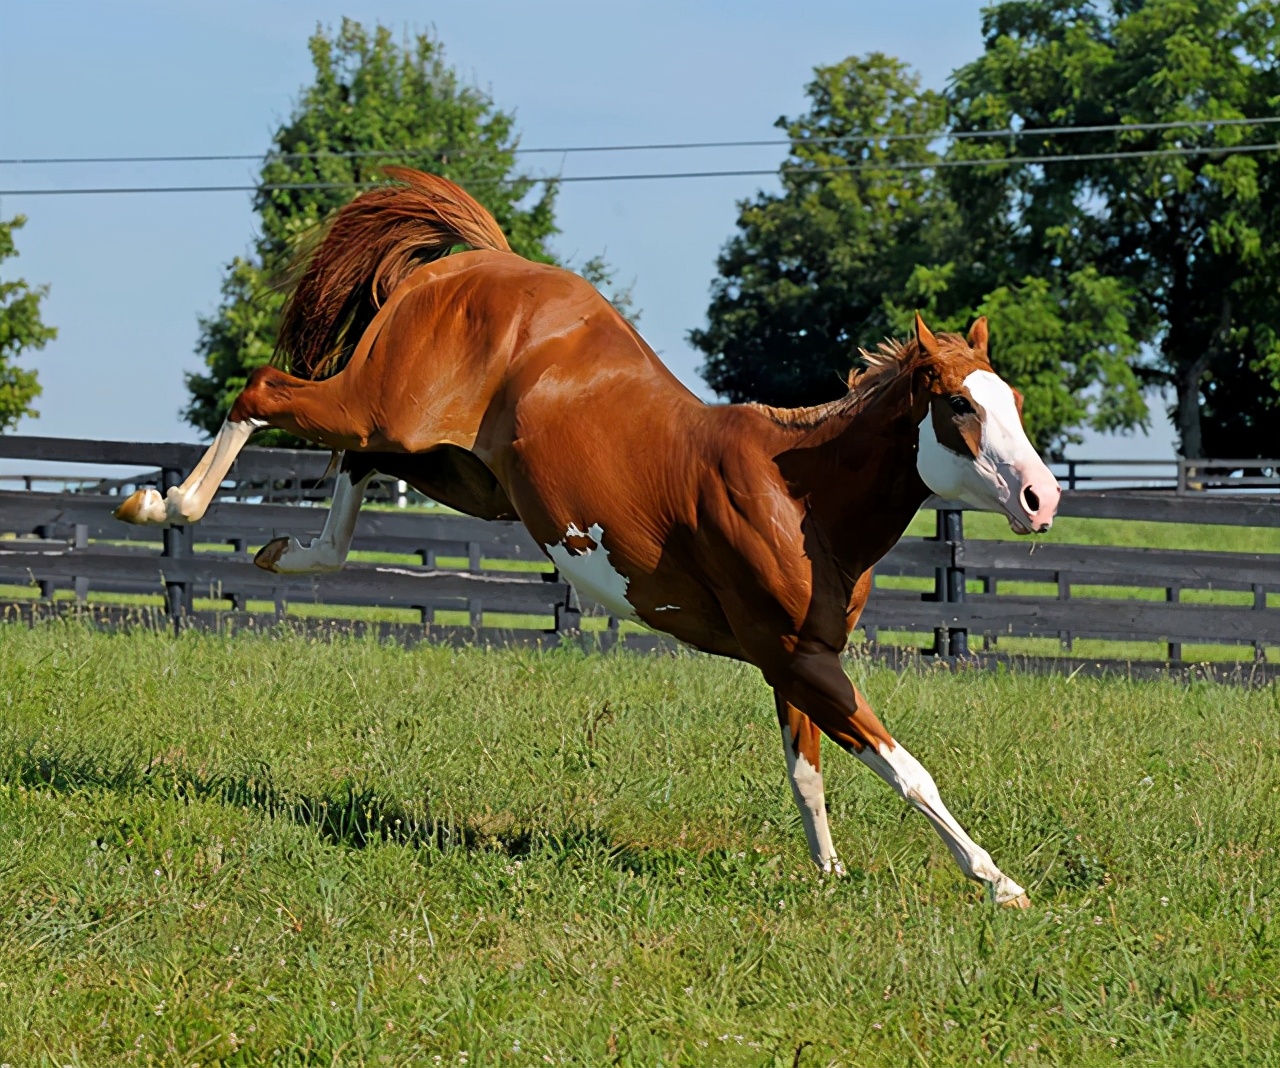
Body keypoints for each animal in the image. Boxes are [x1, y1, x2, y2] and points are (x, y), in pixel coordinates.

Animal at [114, 168, 1061, 906]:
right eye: (960, 404)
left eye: (1011, 397)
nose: (1043, 498)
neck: (798, 497)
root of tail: (474, 261)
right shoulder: (800, 660)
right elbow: (904, 767)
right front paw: (998, 880)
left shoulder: (796, 660)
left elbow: (807, 771)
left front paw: (829, 875)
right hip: (381, 406)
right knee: (264, 391)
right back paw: (160, 506)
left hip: (453, 465)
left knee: (352, 468)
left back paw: (284, 553)